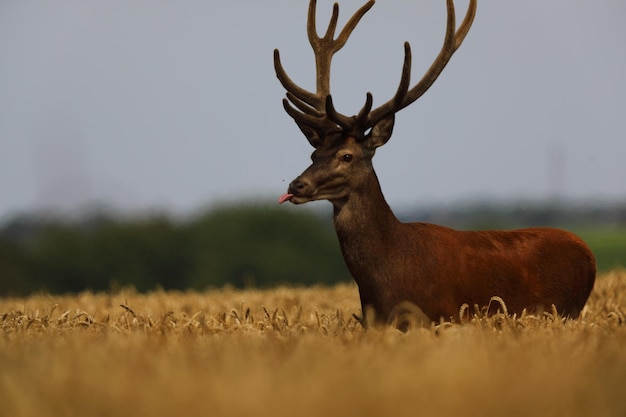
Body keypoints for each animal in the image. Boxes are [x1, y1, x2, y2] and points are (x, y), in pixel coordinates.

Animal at [272, 0, 596, 324]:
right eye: (314, 154)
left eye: (347, 156)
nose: (296, 185)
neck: (387, 275)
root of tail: (587, 250)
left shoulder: (441, 314)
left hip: (568, 309)